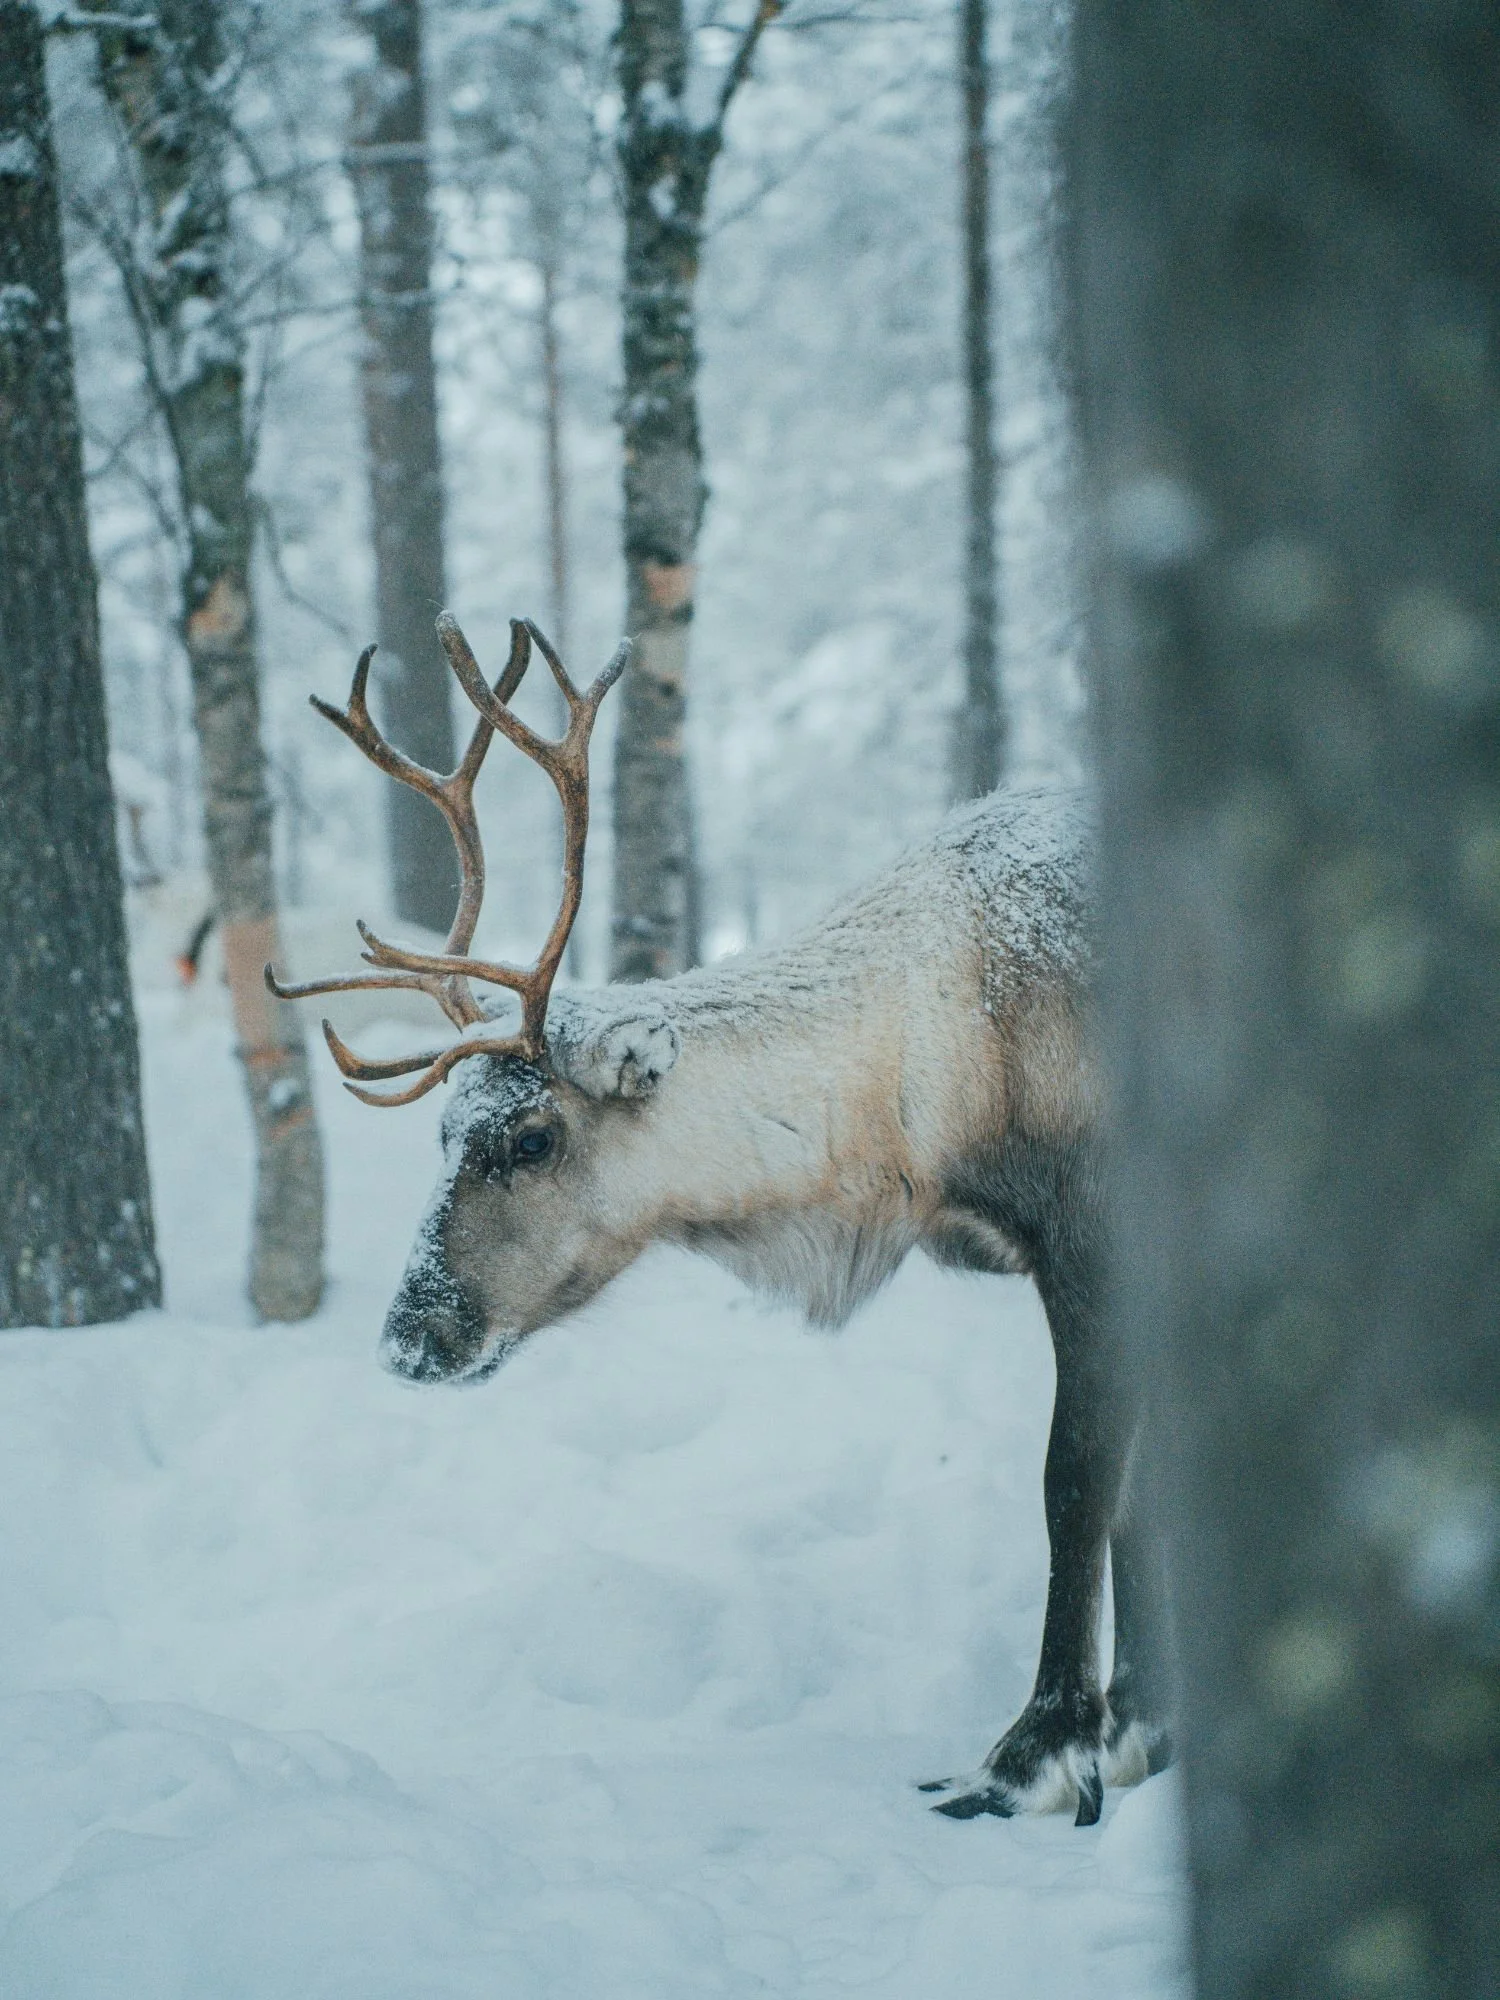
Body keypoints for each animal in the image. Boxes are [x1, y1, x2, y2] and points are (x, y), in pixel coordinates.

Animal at [267, 611, 1173, 1826]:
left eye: (533, 1137)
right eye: (442, 1131)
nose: (408, 1342)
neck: (928, 1083)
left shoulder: (1096, 1240)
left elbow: (1078, 1485)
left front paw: (1035, 1753)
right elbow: (1142, 1493)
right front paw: (1139, 1725)